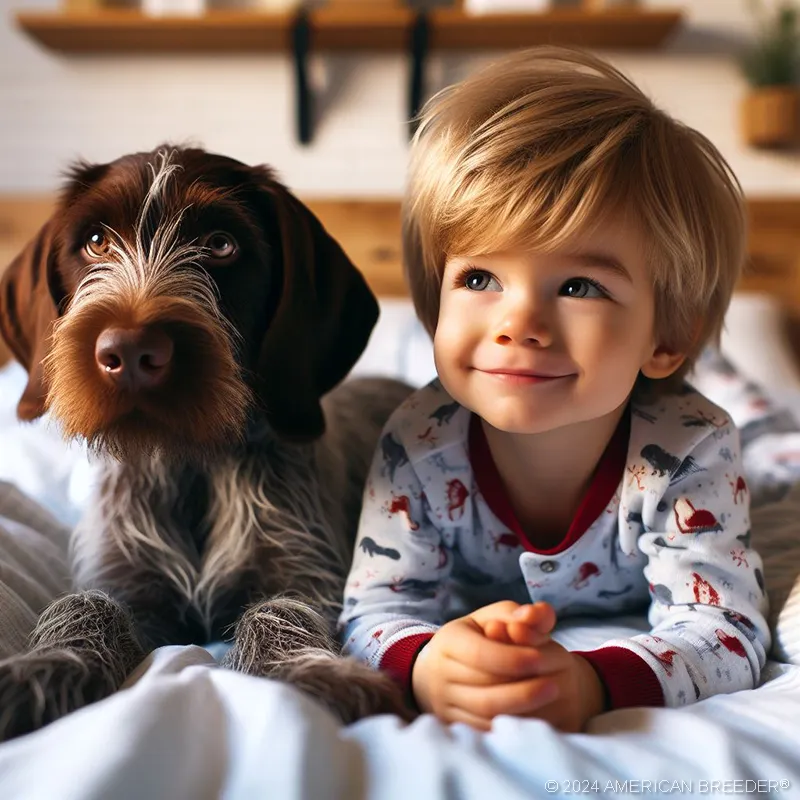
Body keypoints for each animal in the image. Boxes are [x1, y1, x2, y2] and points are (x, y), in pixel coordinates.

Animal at [0, 147, 412, 740]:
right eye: (96, 242)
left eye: (220, 244)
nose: (130, 352)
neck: (190, 466)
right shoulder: (129, 586)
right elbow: (86, 604)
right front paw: (42, 669)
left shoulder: (305, 573)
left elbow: (282, 611)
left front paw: (316, 673)